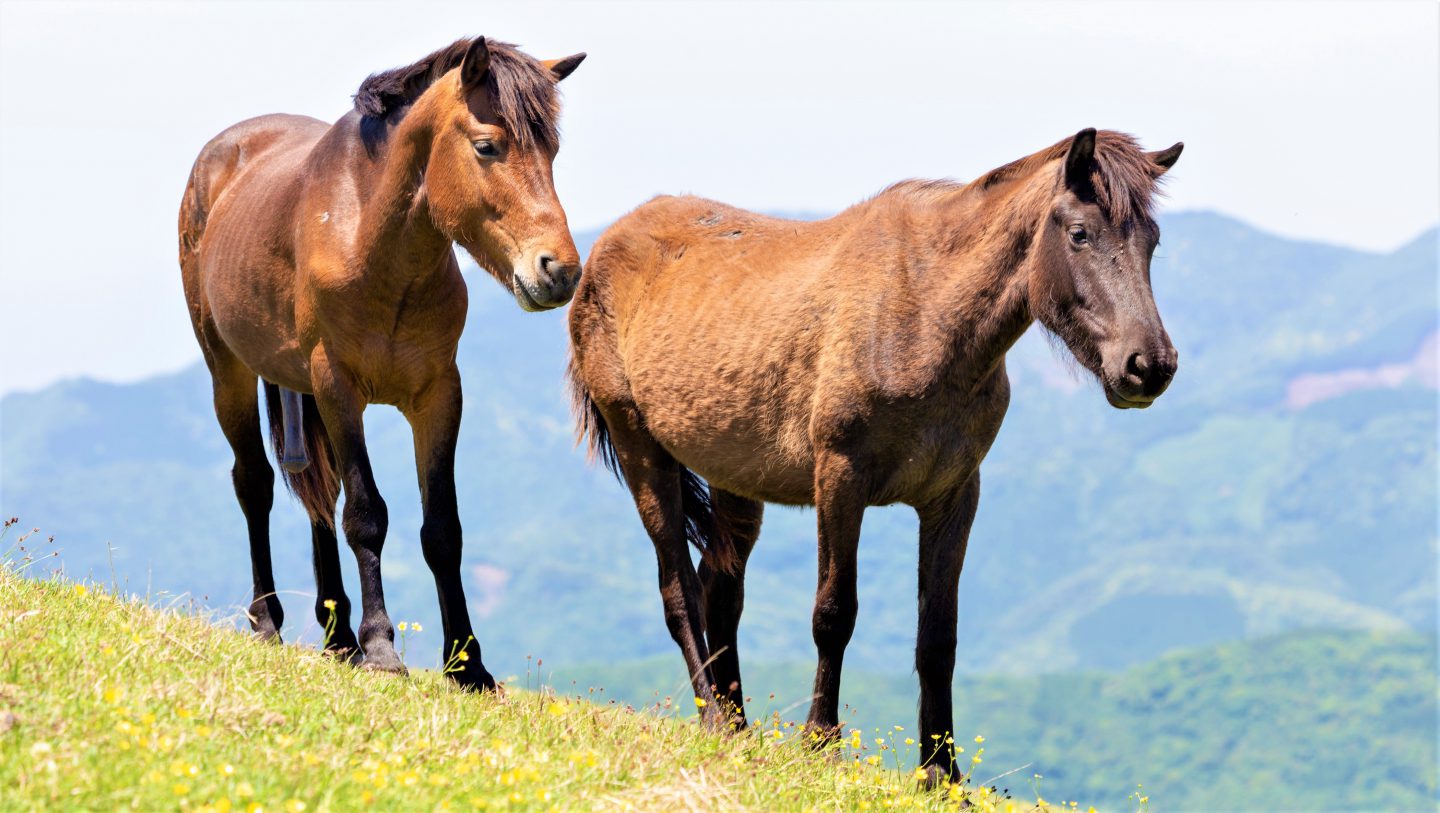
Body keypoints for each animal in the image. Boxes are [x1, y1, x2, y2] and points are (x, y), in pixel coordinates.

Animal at [180, 34, 584, 687]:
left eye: (551, 150)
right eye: (487, 146)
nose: (561, 271)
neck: (374, 241)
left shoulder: (438, 395)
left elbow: (442, 528)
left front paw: (467, 664)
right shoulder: (339, 387)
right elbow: (367, 514)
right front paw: (381, 648)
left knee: (316, 496)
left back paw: (336, 635)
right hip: (231, 373)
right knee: (256, 484)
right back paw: (269, 621)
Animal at [567, 128, 1186, 777]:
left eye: (1152, 241)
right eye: (1080, 234)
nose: (1149, 366)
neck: (925, 309)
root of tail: (607, 245)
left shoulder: (954, 496)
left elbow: (938, 636)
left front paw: (941, 774)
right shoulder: (841, 480)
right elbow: (834, 613)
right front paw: (821, 742)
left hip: (735, 478)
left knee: (722, 589)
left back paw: (738, 728)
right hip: (642, 449)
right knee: (679, 589)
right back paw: (714, 719)